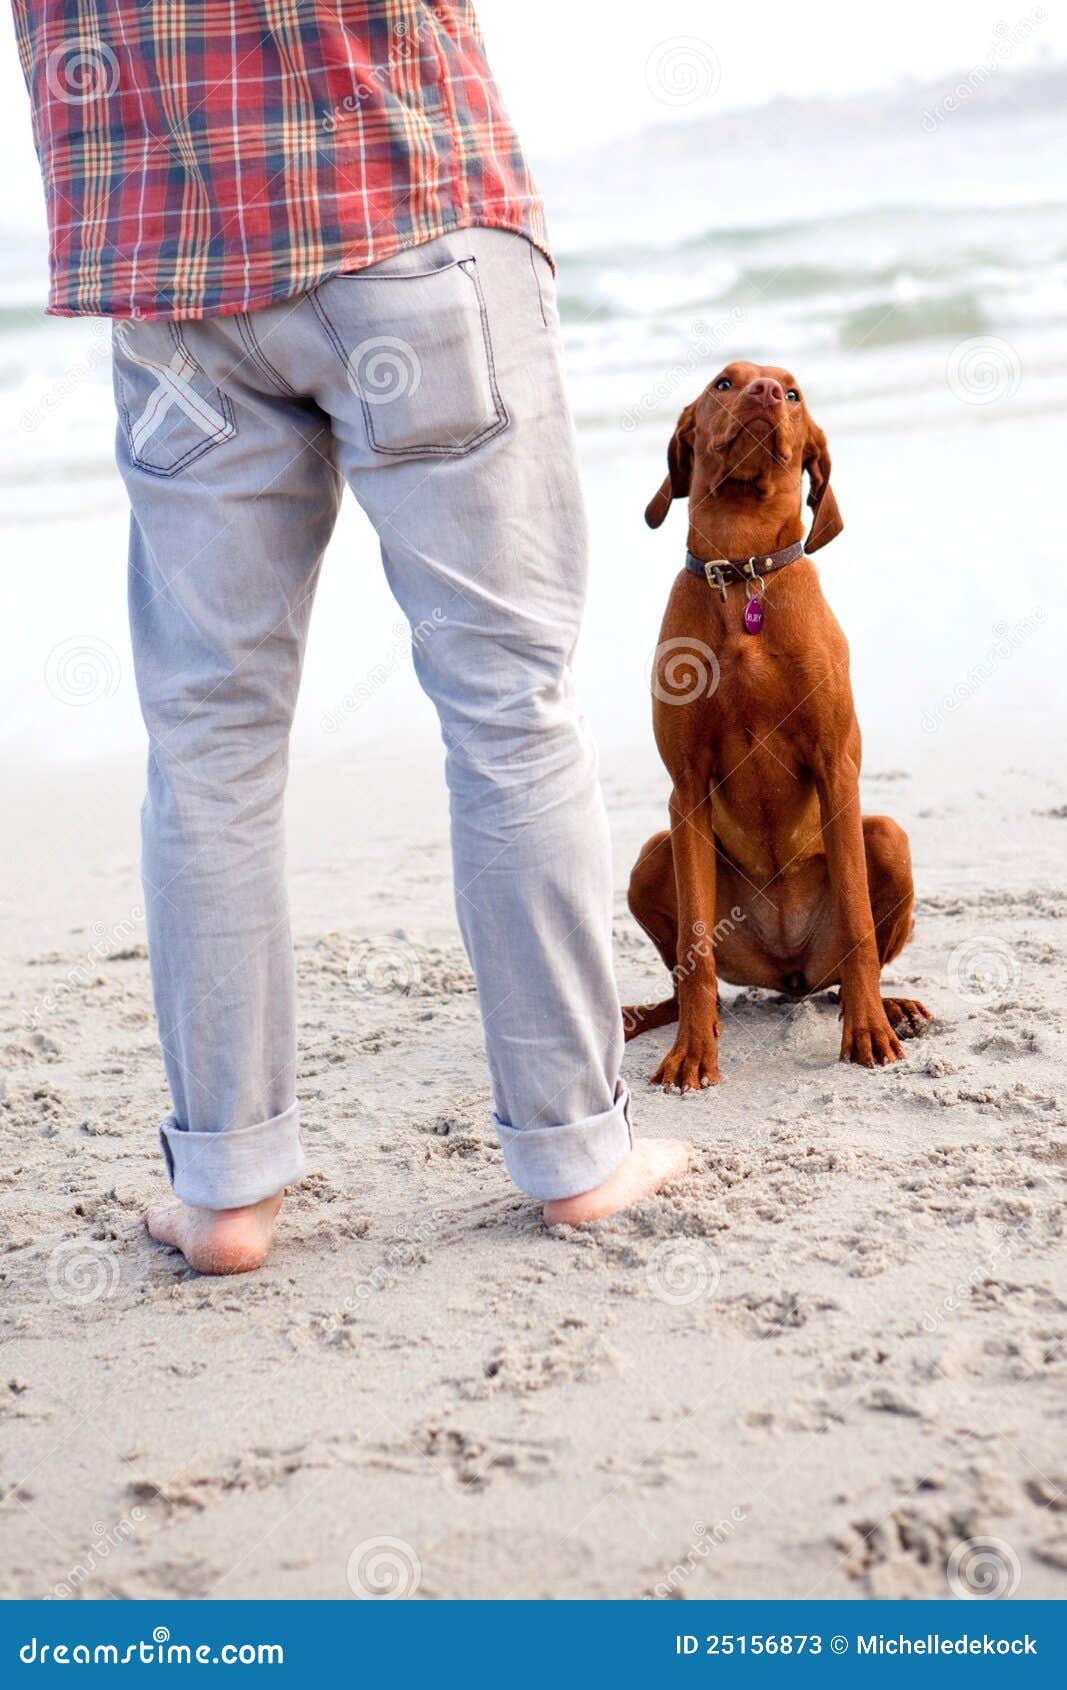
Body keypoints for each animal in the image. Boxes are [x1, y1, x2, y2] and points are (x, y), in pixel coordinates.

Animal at [622, 361, 933, 1088]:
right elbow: (694, 951)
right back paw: (653, 1017)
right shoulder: (686, 786)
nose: (764, 394)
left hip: (886, 837)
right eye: (723, 383)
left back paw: (889, 1005)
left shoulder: (835, 765)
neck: (741, 574)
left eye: (792, 393)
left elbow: (858, 924)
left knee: (847, 969)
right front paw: (691, 1053)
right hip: (652, 858)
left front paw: (867, 1032)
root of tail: (786, 969)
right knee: (691, 977)